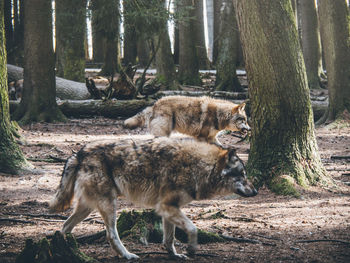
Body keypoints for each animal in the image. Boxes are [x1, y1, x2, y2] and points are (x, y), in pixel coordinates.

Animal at [49, 137, 258, 260]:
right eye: (242, 175)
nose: (256, 191)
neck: (199, 166)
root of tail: (79, 153)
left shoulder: (169, 209)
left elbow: (169, 238)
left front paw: (175, 255)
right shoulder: (167, 206)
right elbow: (193, 228)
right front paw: (191, 249)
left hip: (87, 208)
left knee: (64, 227)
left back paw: (67, 249)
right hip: (109, 205)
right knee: (110, 234)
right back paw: (127, 255)